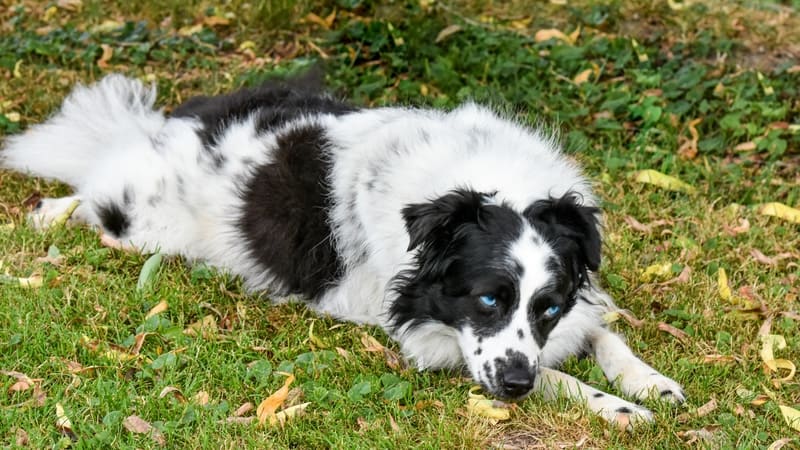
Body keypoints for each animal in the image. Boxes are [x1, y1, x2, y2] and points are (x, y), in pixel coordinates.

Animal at [3, 72, 684, 428]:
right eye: (487, 300)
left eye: (548, 307)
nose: (515, 386)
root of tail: (178, 129)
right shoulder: (432, 339)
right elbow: (559, 378)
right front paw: (617, 407)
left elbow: (603, 335)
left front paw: (649, 383)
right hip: (142, 221)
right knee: (91, 194)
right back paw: (48, 213)